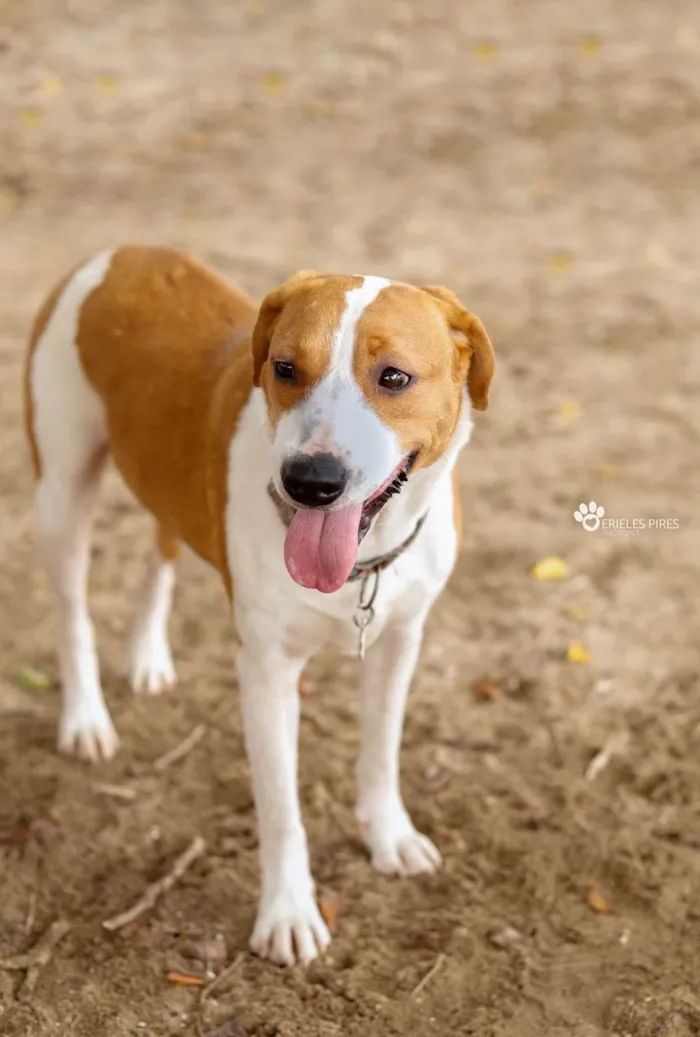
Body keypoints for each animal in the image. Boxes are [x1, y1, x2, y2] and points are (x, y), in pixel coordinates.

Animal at [21, 246, 493, 966]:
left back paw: (147, 658)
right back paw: (85, 719)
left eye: (394, 377)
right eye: (286, 368)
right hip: (63, 491)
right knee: (73, 611)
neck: (360, 564)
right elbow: (280, 807)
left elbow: (381, 751)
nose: (311, 481)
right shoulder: (267, 673)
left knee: (159, 556)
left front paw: (388, 835)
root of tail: (123, 252)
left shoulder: (399, 642)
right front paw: (288, 911)